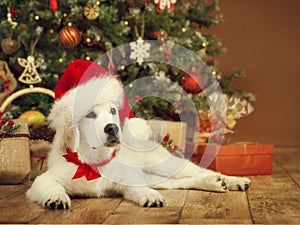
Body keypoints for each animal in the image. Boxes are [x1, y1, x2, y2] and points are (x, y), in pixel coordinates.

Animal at [26, 75, 251, 209]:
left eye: (113, 111)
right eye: (90, 114)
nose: (112, 128)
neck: (94, 162)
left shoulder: (129, 179)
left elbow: (139, 187)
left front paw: (149, 196)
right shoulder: (43, 179)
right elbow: (52, 186)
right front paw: (57, 197)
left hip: (163, 164)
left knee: (200, 170)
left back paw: (233, 180)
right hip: (156, 175)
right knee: (182, 181)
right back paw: (213, 183)